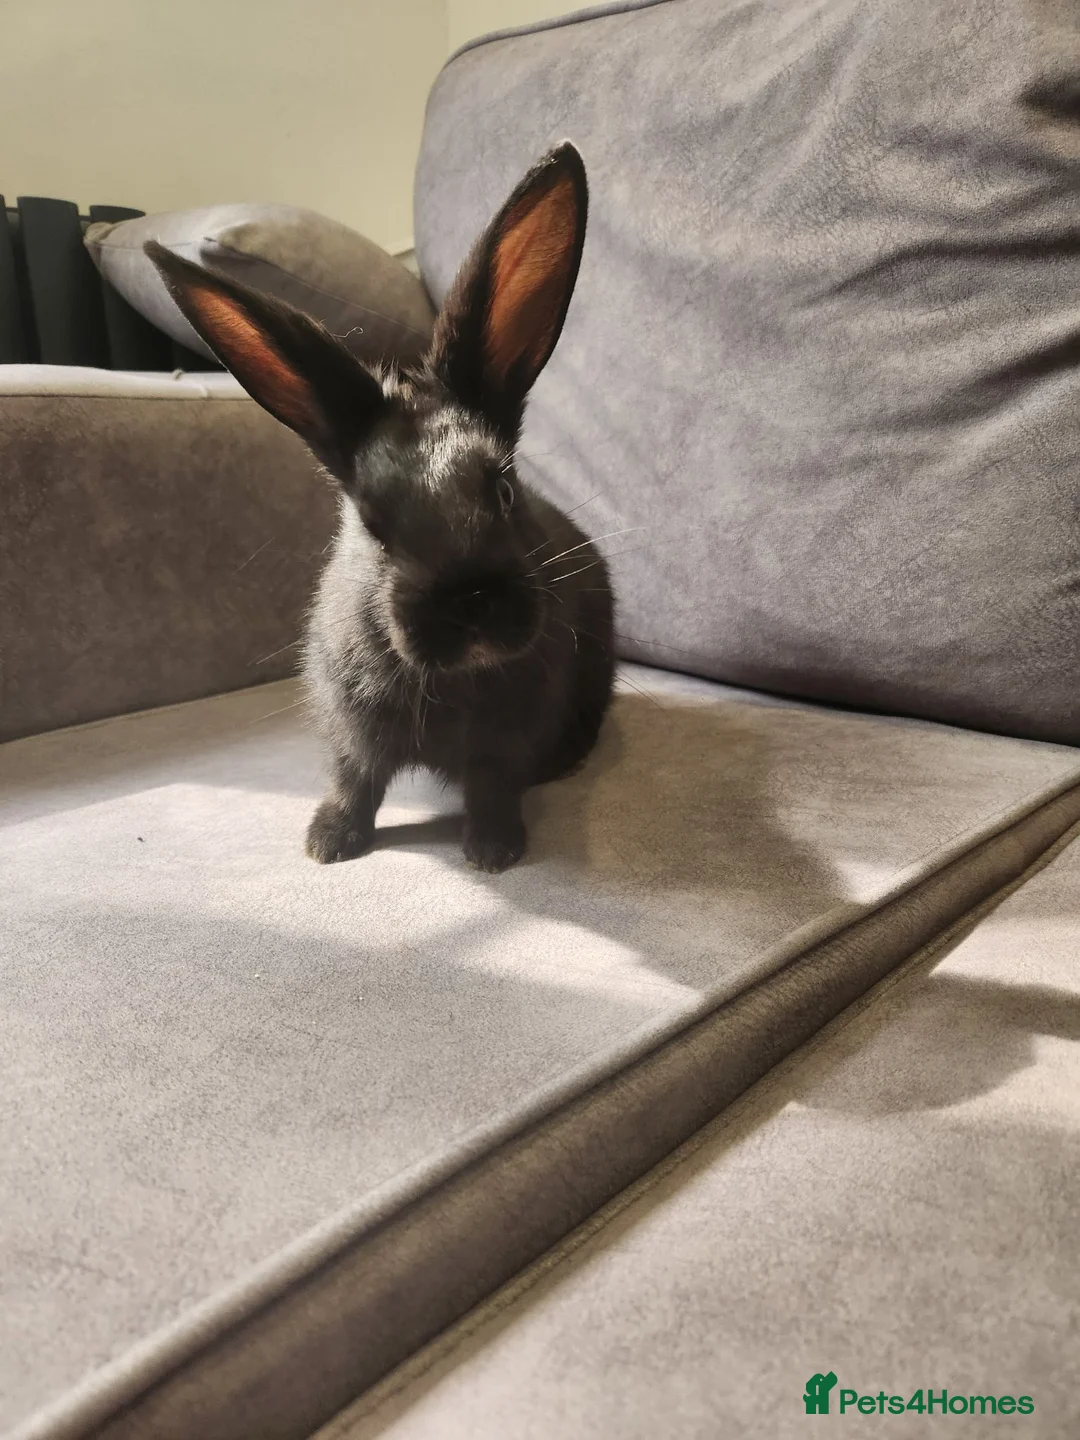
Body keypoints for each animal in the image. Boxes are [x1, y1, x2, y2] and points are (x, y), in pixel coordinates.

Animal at [147, 142, 614, 873]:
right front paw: (328, 843)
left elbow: (492, 787)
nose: (471, 604)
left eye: (504, 490)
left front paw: (492, 851)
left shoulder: (504, 744)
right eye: (371, 521)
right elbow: (355, 781)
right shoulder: (350, 729)